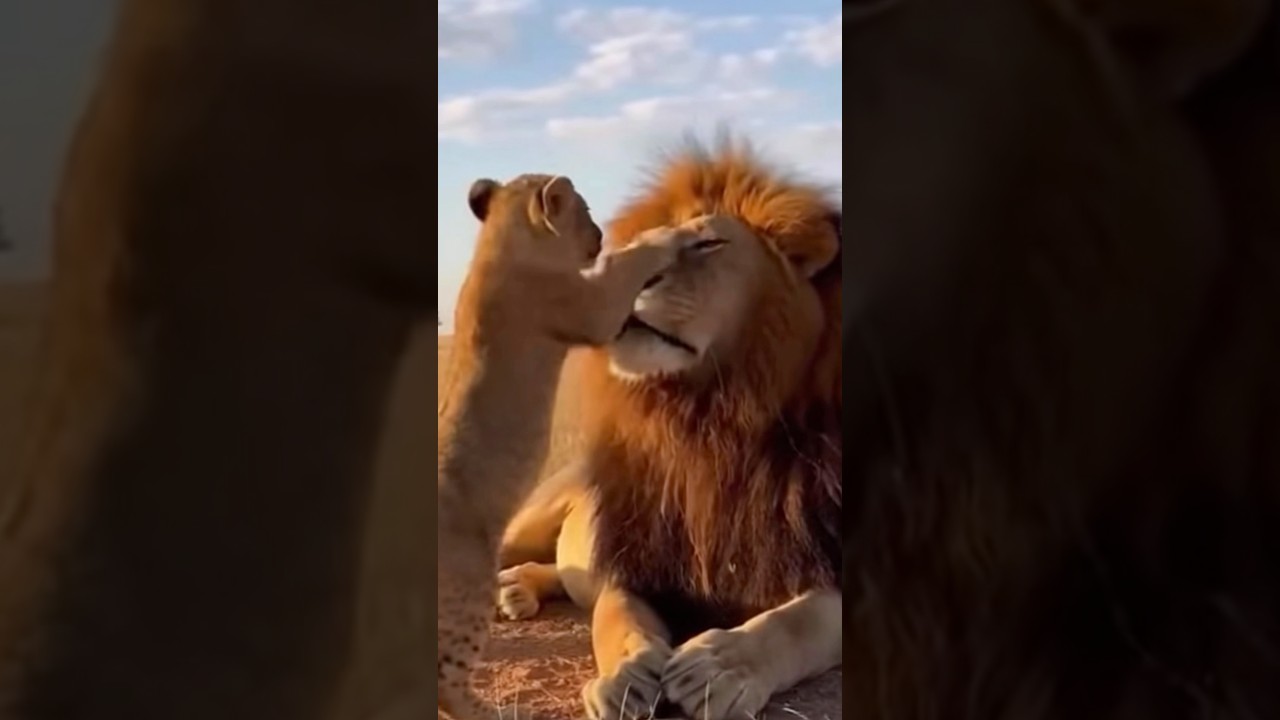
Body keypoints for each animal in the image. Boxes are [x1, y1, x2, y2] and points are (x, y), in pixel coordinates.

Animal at [436, 173, 685, 720]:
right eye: (586, 210)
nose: (600, 234)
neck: (501, 244)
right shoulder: (591, 307)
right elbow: (627, 266)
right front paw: (664, 237)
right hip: (471, 591)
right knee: (446, 680)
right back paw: (492, 713)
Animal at [497, 139, 843, 720]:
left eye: (709, 242)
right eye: (638, 244)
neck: (706, 424)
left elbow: (800, 621)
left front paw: (721, 667)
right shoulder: (634, 561)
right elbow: (615, 617)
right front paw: (626, 676)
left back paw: (518, 591)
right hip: (529, 519)